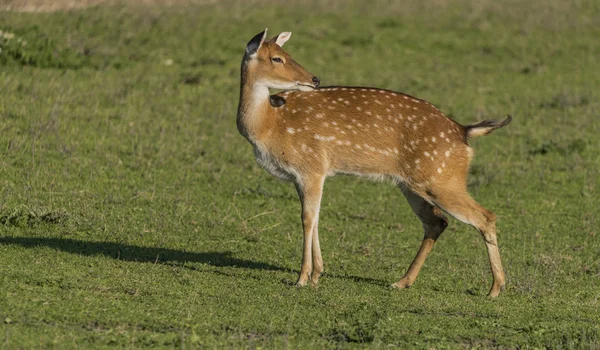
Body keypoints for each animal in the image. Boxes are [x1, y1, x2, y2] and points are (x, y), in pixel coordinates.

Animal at [234, 28, 510, 296]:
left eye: (285, 54)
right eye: (277, 58)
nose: (314, 80)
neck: (268, 126)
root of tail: (463, 131)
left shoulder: (311, 166)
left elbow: (307, 219)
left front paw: (302, 279)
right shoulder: (304, 175)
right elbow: (315, 217)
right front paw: (316, 275)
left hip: (441, 178)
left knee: (485, 216)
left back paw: (495, 288)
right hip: (413, 184)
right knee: (436, 222)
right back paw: (402, 281)